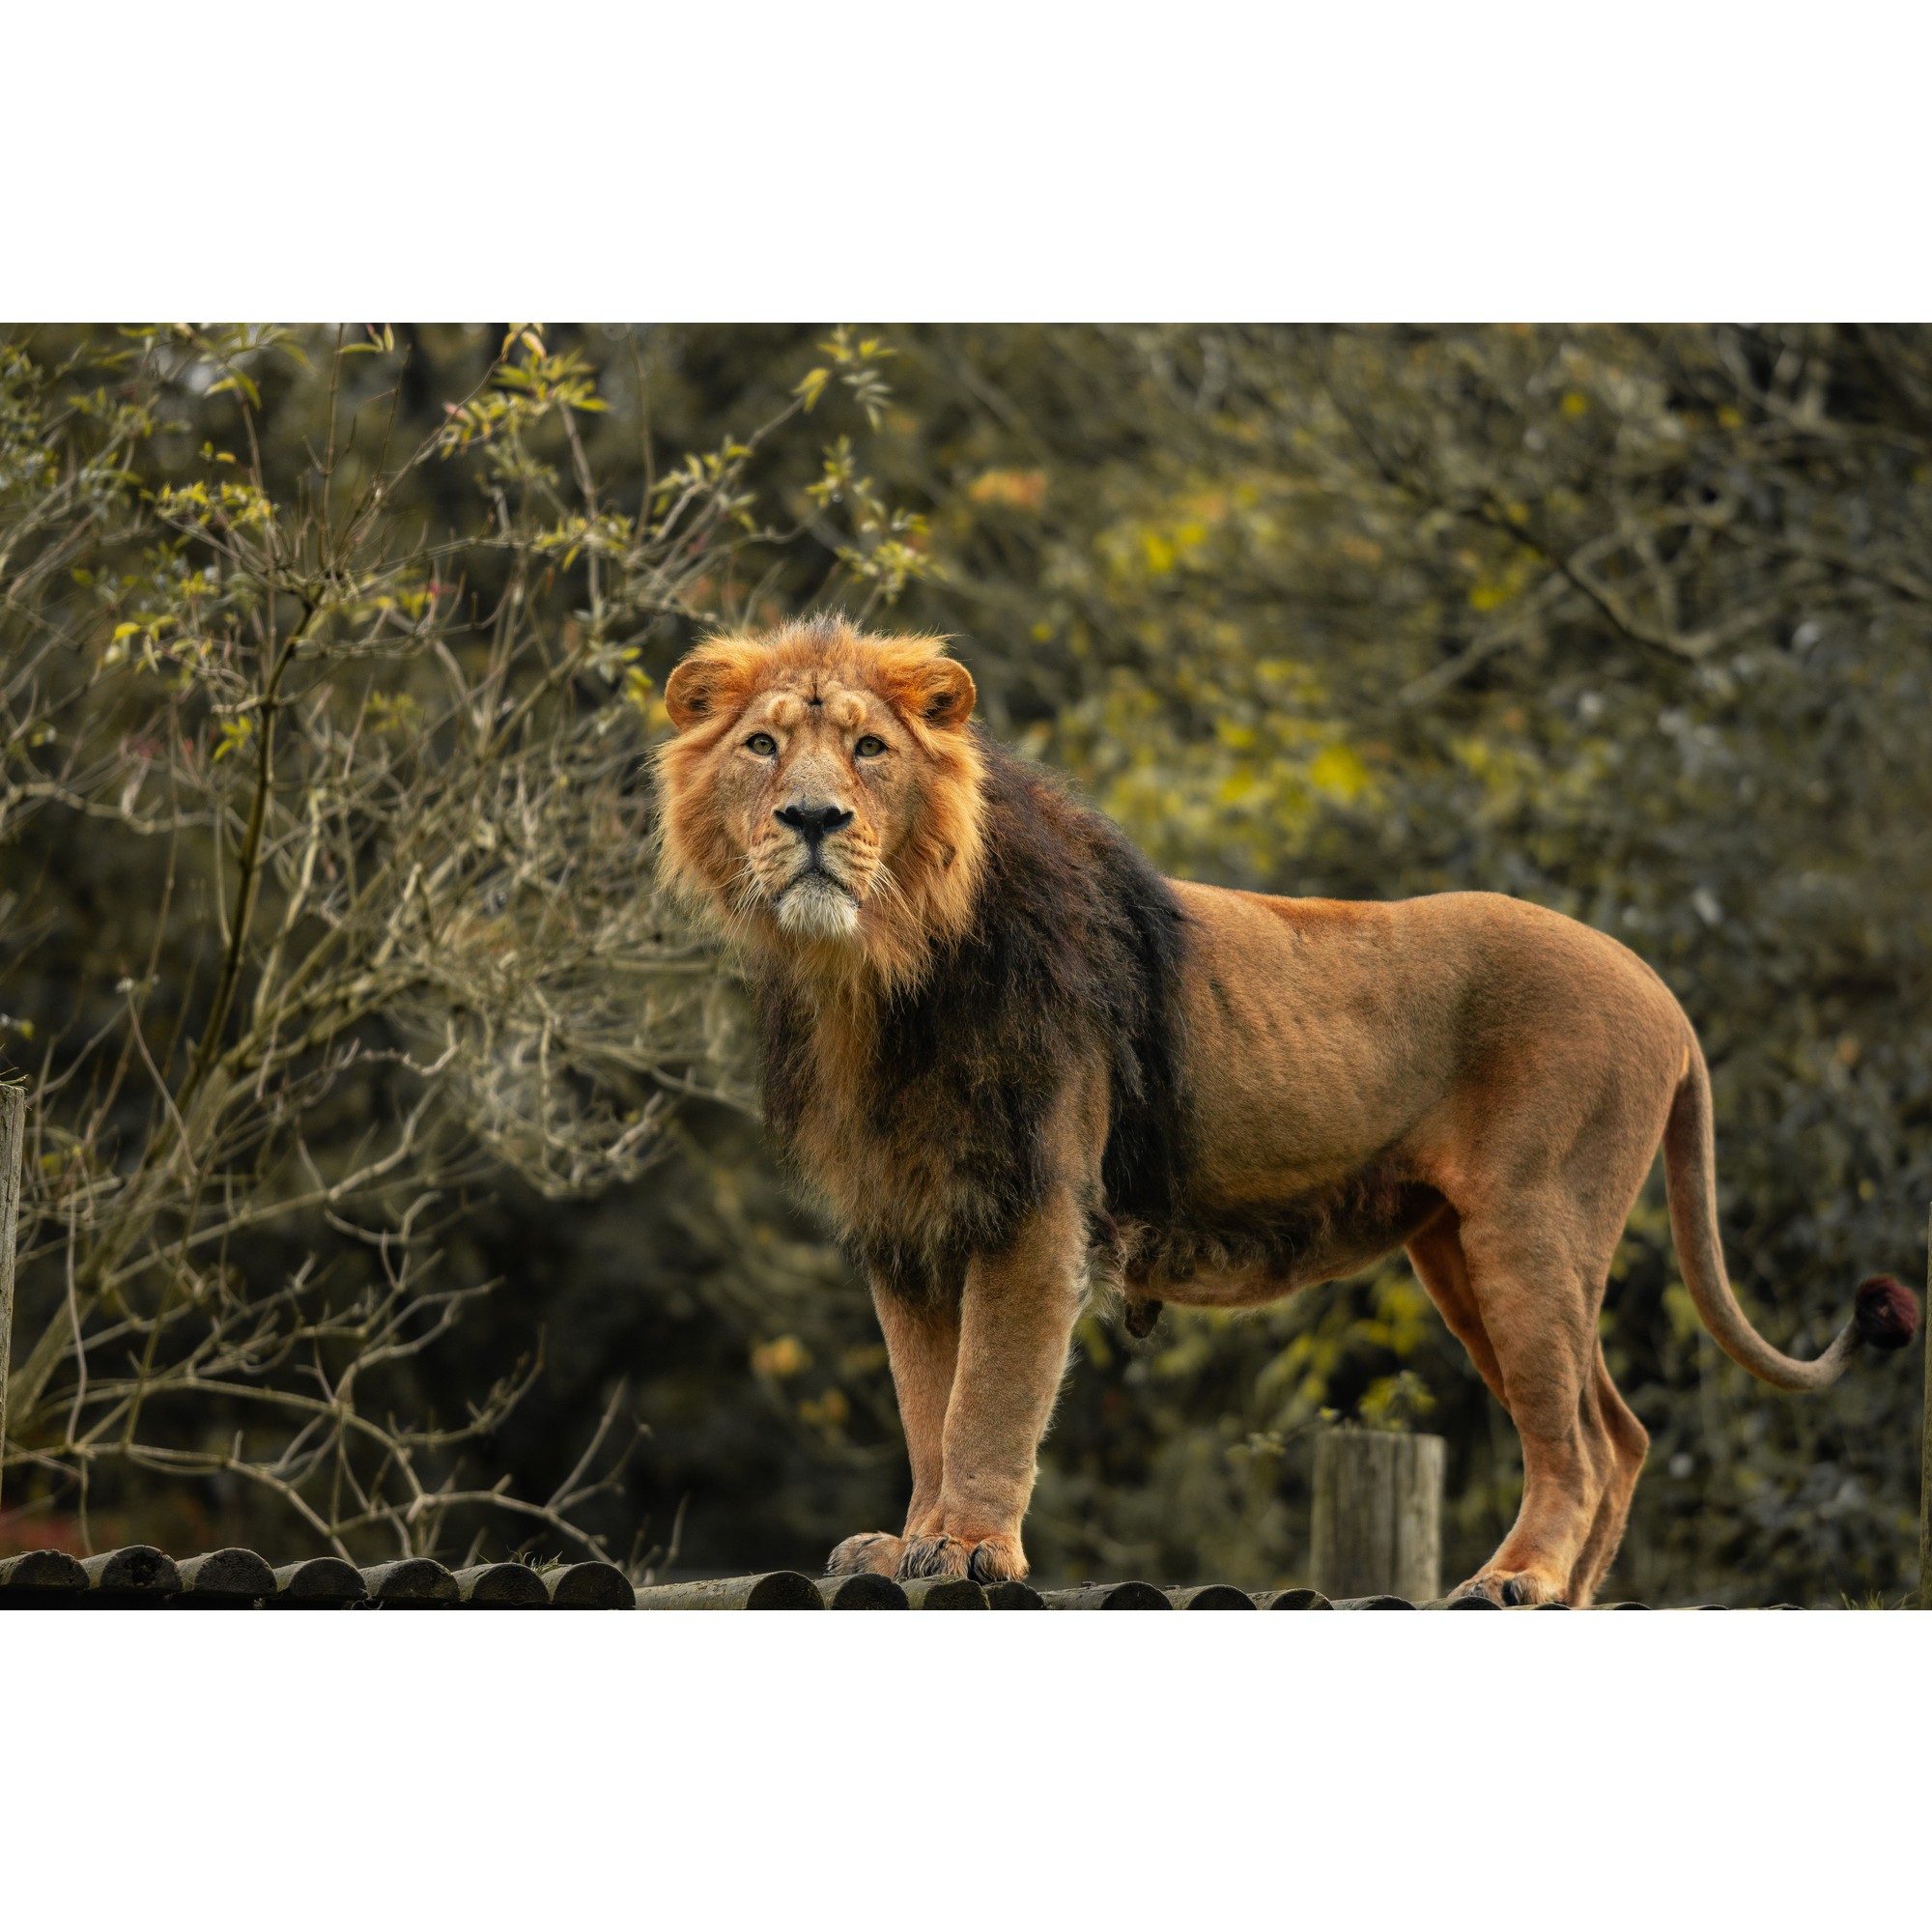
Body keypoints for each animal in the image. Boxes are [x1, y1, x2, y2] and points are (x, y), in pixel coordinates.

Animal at [656, 615, 1919, 1606]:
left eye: (868, 748)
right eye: (763, 744)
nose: (812, 817)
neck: (873, 978)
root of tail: (1660, 990)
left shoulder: (1035, 1205)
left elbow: (992, 1396)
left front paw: (968, 1546)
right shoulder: (910, 1221)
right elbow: (929, 1398)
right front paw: (906, 1539)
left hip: (1531, 1223)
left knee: (1579, 1442)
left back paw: (1516, 1577)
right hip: (1459, 1252)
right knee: (1619, 1426)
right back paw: (1561, 1595)